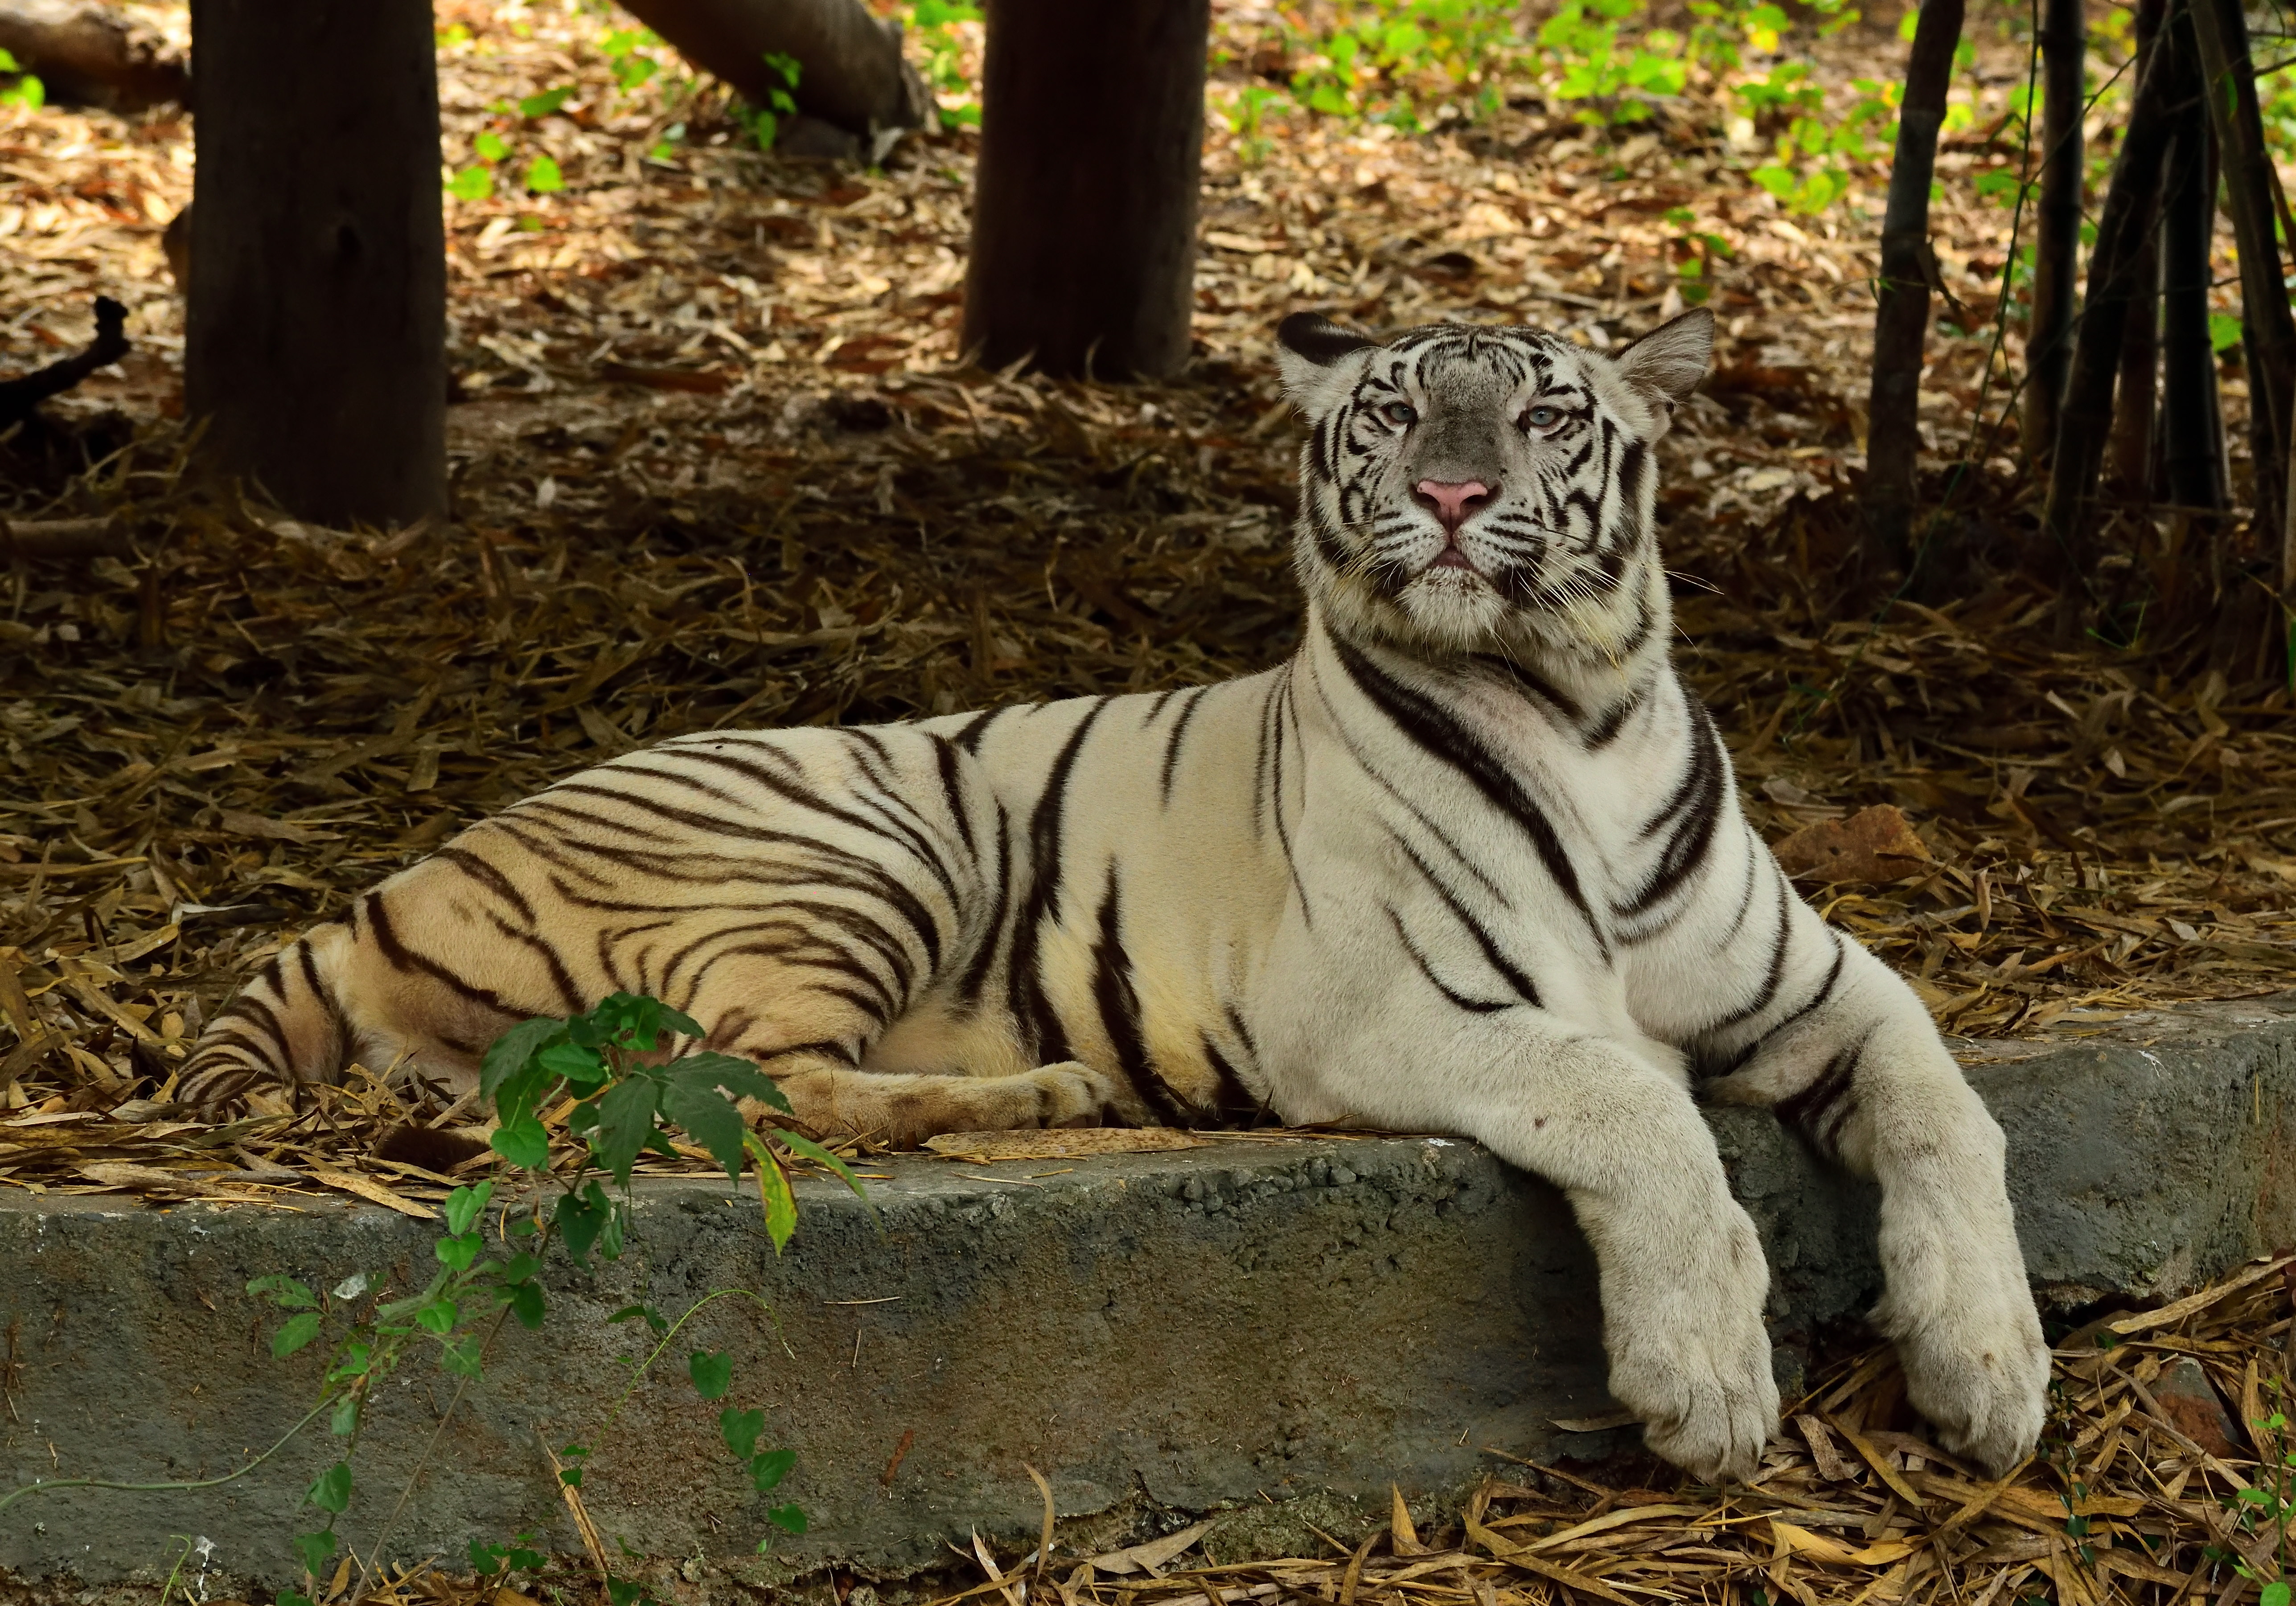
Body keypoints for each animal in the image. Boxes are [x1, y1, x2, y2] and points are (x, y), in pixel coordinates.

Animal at [184, 310, 2048, 1477]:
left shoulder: (1817, 979)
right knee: (747, 1086)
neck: (1571, 699)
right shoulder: (1381, 1010)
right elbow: (1637, 1108)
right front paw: (1712, 1385)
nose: (1450, 496)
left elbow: (1953, 1108)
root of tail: (405, 867)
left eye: (1541, 415)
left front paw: (1992, 1371)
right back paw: (1051, 1088)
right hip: (878, 828)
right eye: (1392, 414)